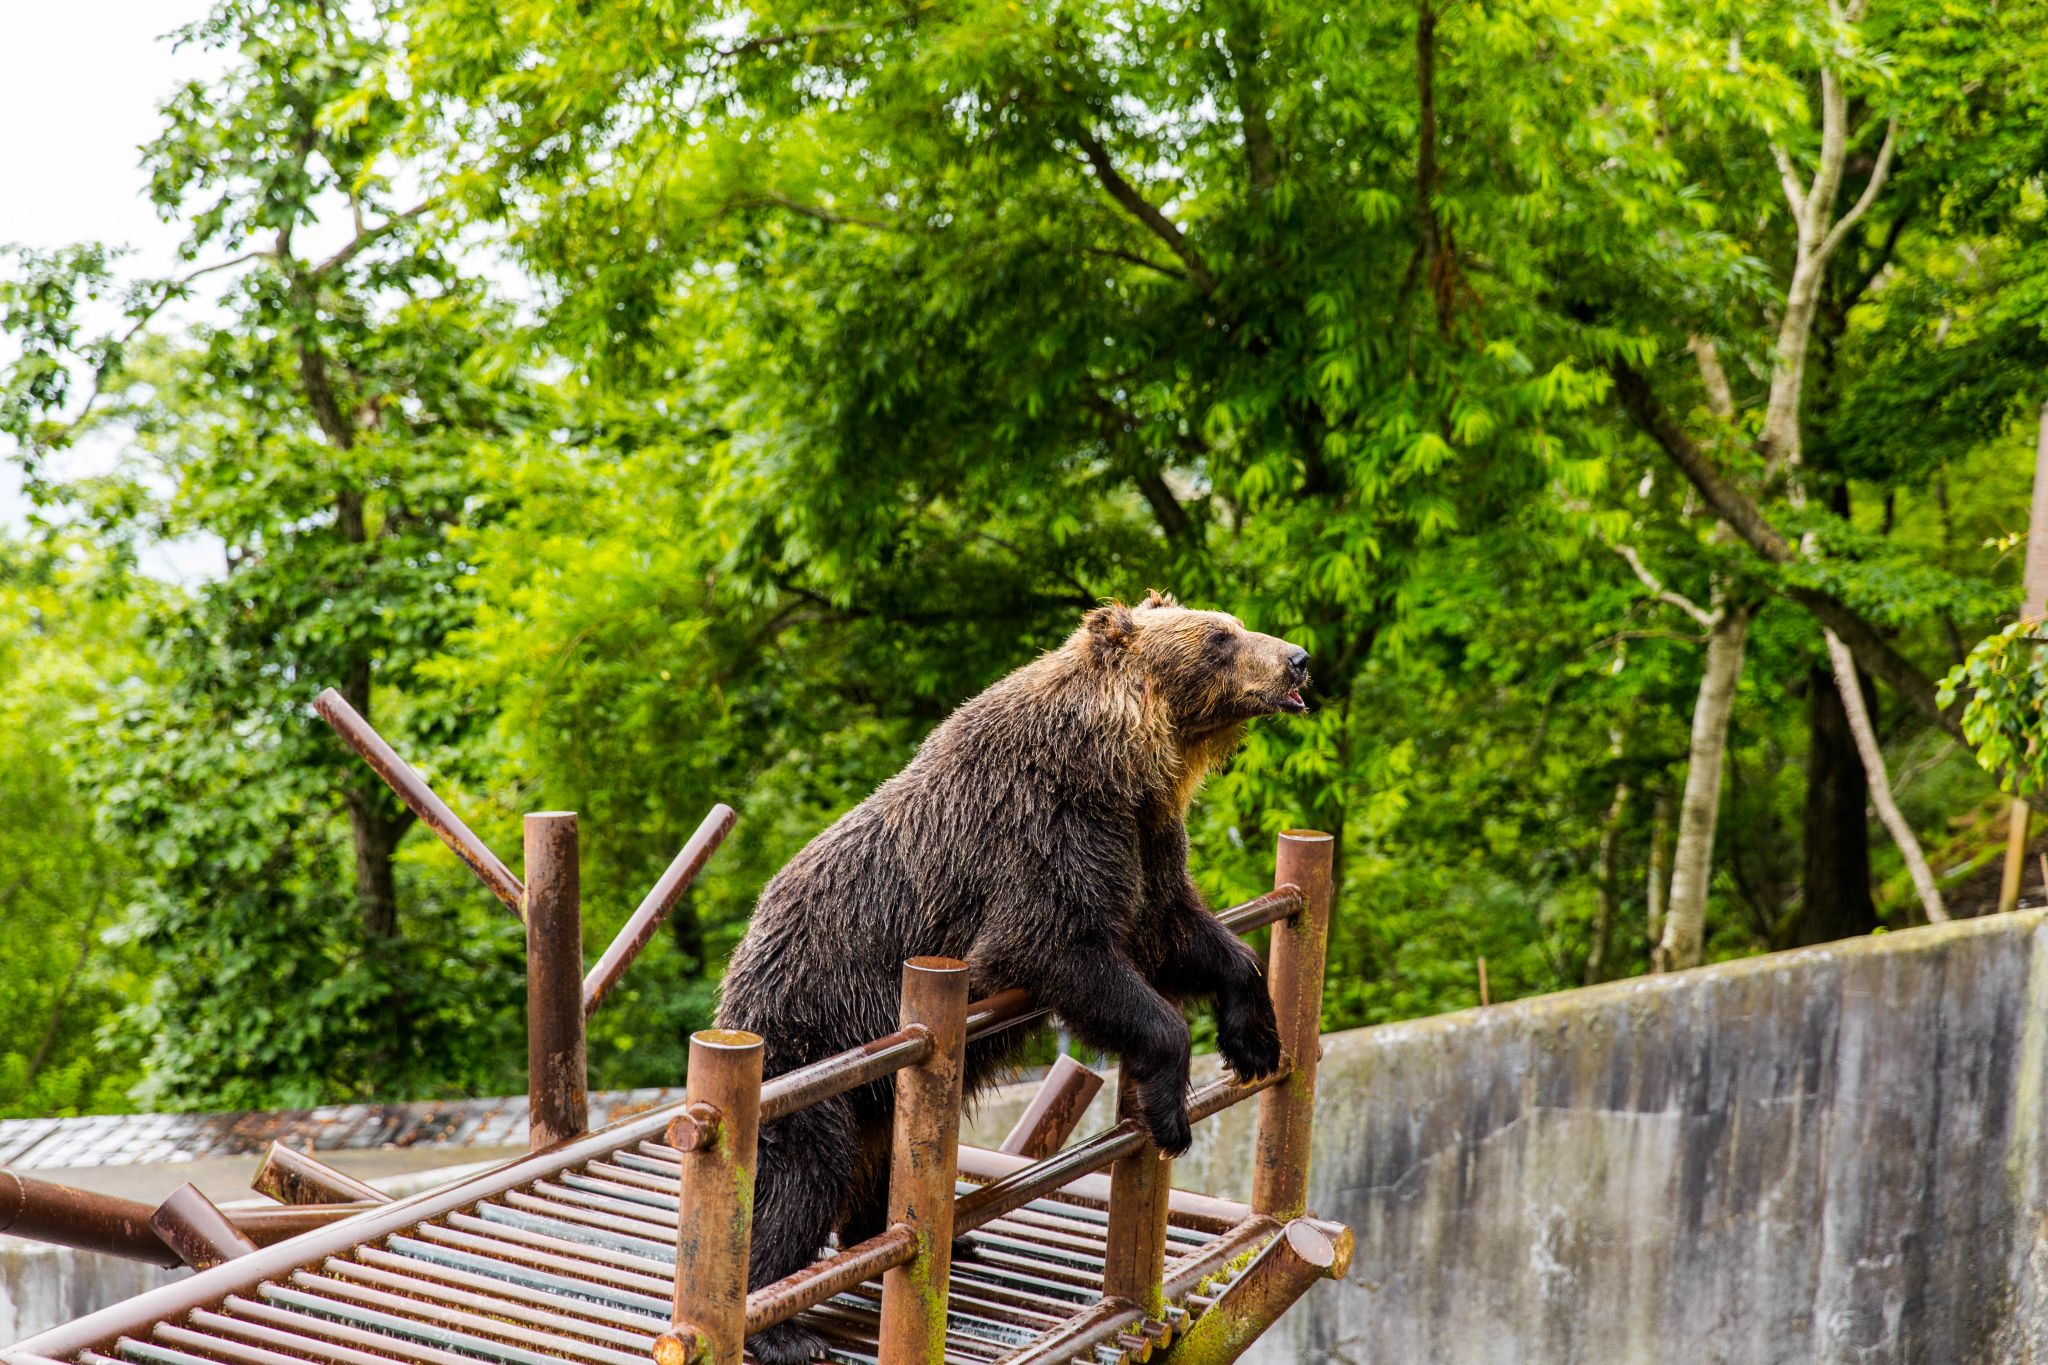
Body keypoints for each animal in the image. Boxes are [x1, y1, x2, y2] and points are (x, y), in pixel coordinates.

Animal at [712, 589, 1302, 1365]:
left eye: (1232, 625)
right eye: (1218, 639)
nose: (1297, 658)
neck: (1121, 766)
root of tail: (736, 983)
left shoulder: (1142, 842)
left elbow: (1186, 932)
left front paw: (1255, 1039)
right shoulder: (1043, 836)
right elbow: (1063, 950)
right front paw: (1170, 1112)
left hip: (875, 1082)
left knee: (880, 1160)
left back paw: (941, 1242)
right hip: (809, 1044)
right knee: (798, 1173)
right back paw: (781, 1327)